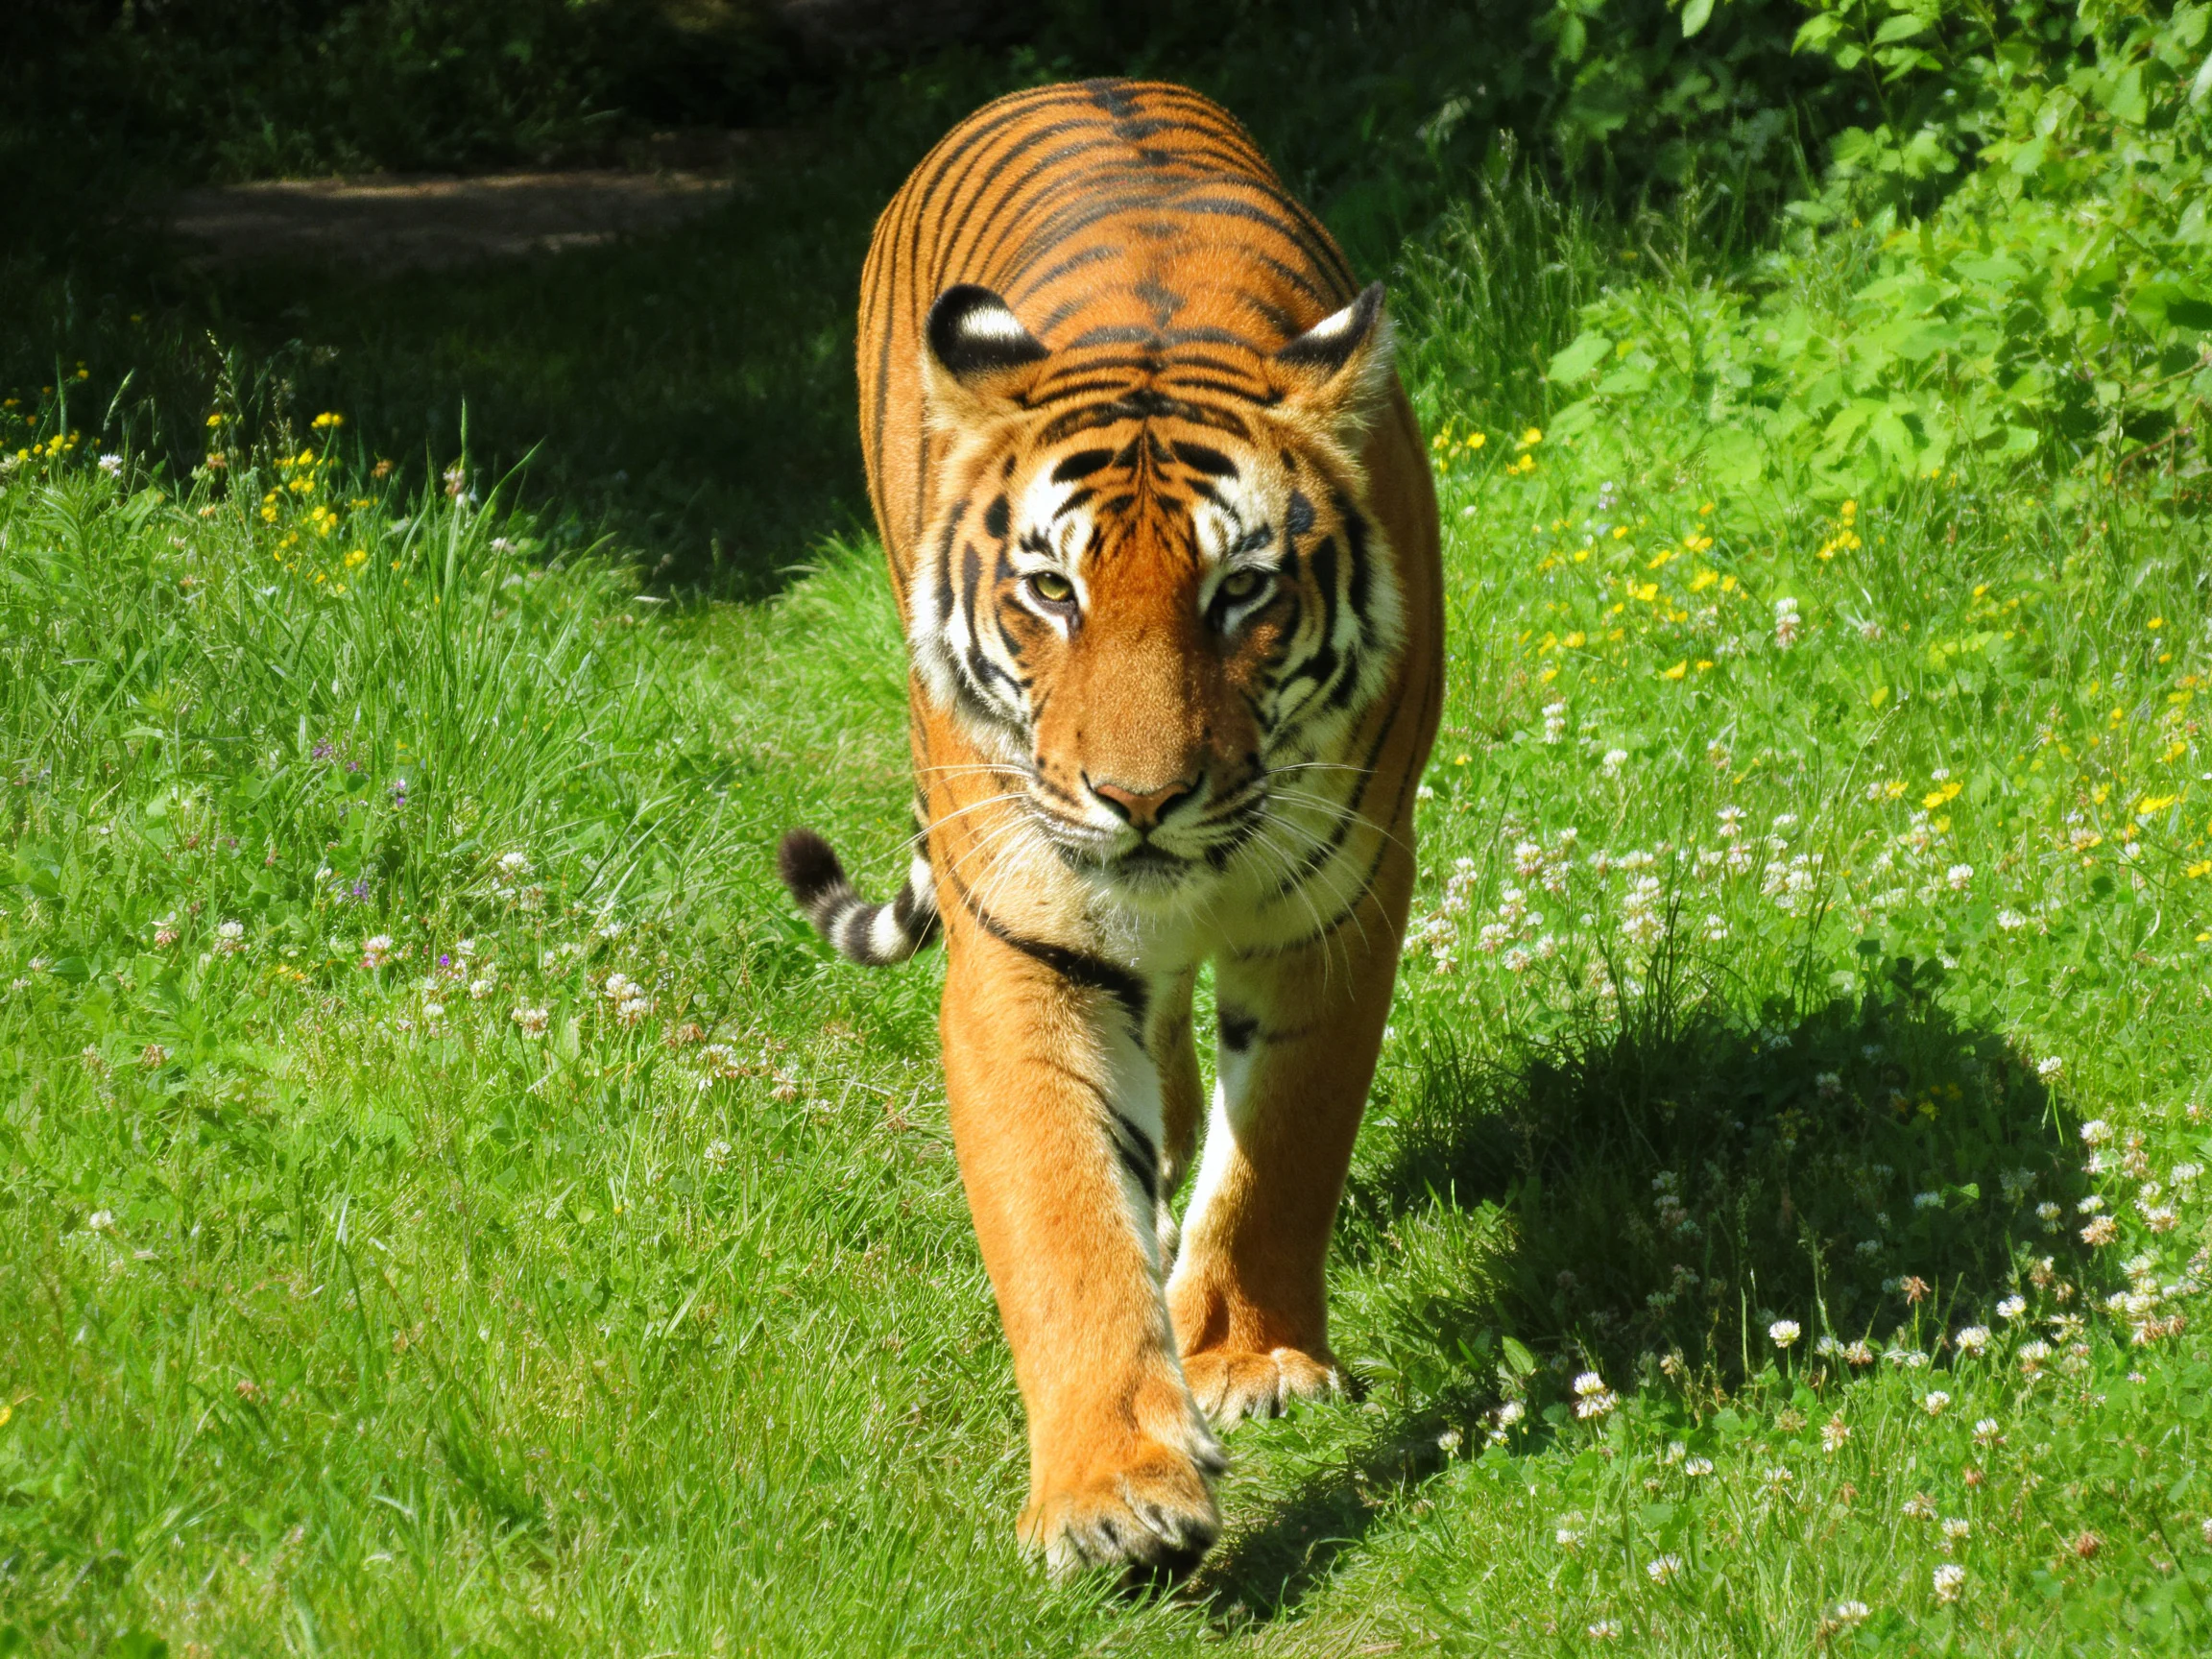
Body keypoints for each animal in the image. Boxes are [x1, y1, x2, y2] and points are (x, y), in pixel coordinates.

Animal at [777, 77, 1442, 1575]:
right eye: (1051, 592)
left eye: (1241, 591)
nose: (1139, 801)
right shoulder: (1027, 939)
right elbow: (1064, 1219)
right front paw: (1114, 1491)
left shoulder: (1337, 908)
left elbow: (1283, 1154)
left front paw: (1249, 1358)